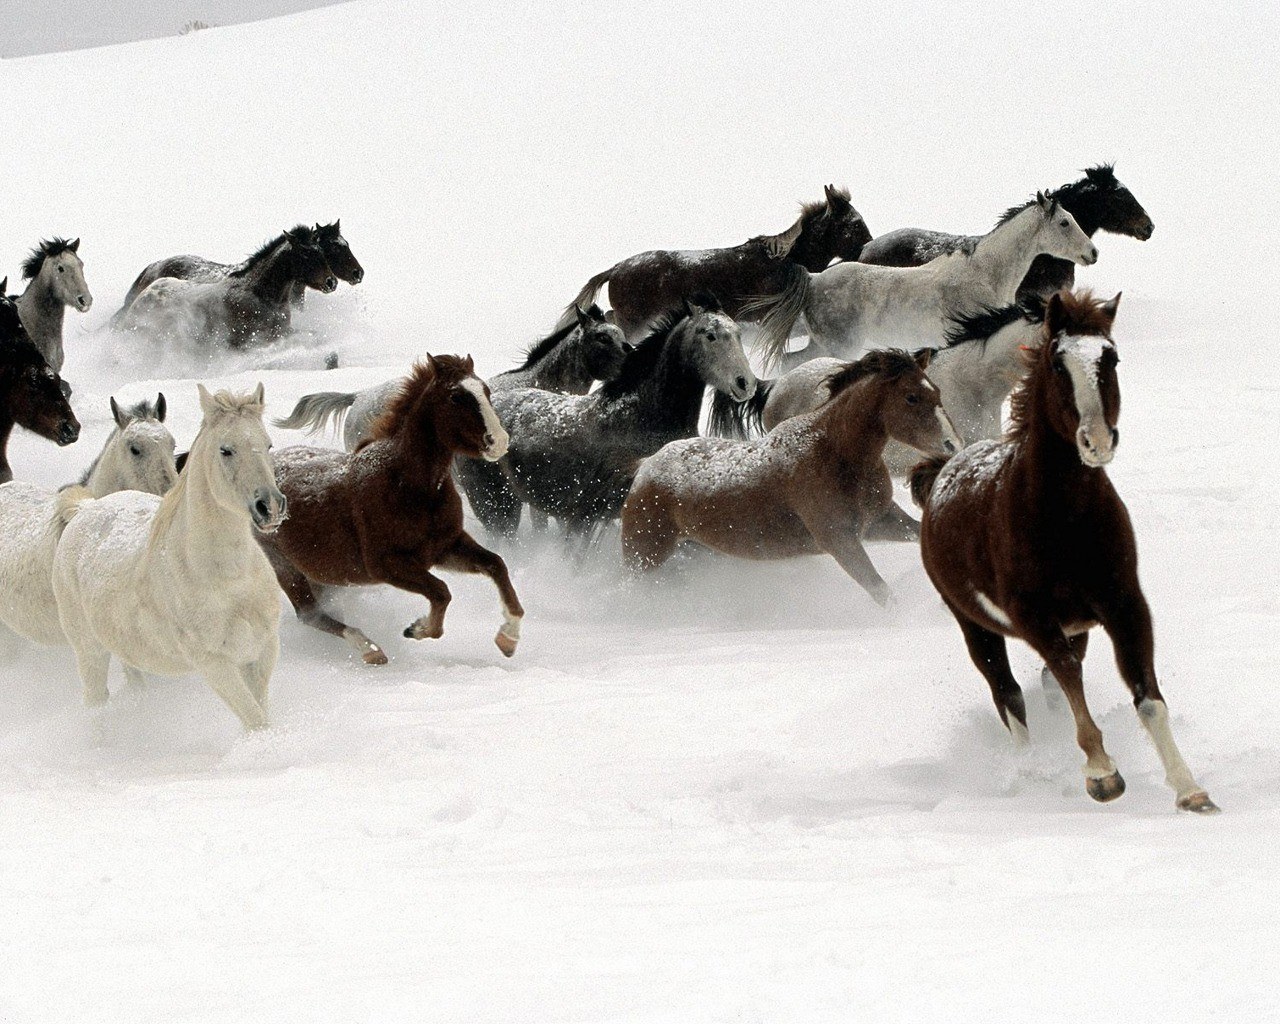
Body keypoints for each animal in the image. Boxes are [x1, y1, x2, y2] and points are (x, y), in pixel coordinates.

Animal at [52, 384, 287, 730]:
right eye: (225, 450)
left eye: (268, 444)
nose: (269, 506)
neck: (230, 579)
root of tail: (85, 509)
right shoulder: (214, 663)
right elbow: (256, 721)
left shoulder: (262, 650)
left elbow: (261, 713)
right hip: (89, 649)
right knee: (95, 700)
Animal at [258, 355, 523, 665]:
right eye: (456, 396)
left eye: (486, 391)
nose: (499, 441)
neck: (406, 485)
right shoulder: (387, 565)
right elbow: (441, 592)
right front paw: (418, 629)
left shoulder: (445, 547)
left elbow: (496, 565)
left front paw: (508, 638)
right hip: (284, 566)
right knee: (310, 615)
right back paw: (370, 649)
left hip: (321, 575)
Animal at [622, 349, 961, 603]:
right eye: (911, 397)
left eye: (937, 391)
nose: (952, 444)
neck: (834, 452)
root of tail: (646, 467)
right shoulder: (839, 539)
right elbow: (882, 592)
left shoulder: (879, 521)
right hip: (644, 556)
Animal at [748, 193, 1097, 371]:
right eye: (1064, 222)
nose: (1092, 253)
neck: (984, 274)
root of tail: (814, 279)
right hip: (839, 346)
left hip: (822, 344)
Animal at [910, 290, 1217, 813]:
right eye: (1057, 364)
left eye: (1111, 358)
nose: (1097, 441)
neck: (1065, 520)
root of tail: (941, 471)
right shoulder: (1033, 617)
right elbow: (1068, 677)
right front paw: (1102, 774)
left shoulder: (1124, 604)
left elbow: (1146, 695)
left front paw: (1190, 790)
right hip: (974, 625)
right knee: (1009, 694)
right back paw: (1031, 771)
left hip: (1077, 625)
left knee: (1045, 686)